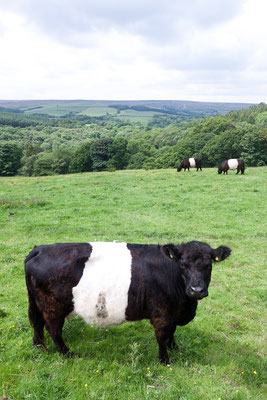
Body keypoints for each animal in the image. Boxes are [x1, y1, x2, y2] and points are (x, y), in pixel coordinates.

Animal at [25, 239, 231, 364]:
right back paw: (68, 354)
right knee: (53, 329)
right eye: (183, 264)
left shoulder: (172, 312)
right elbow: (162, 336)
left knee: (37, 323)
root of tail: (39, 249)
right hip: (53, 306)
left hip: (37, 302)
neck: (185, 304)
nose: (197, 290)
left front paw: (175, 348)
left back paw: (39, 347)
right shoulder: (161, 312)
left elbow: (172, 333)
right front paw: (164, 360)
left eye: (209, 265)